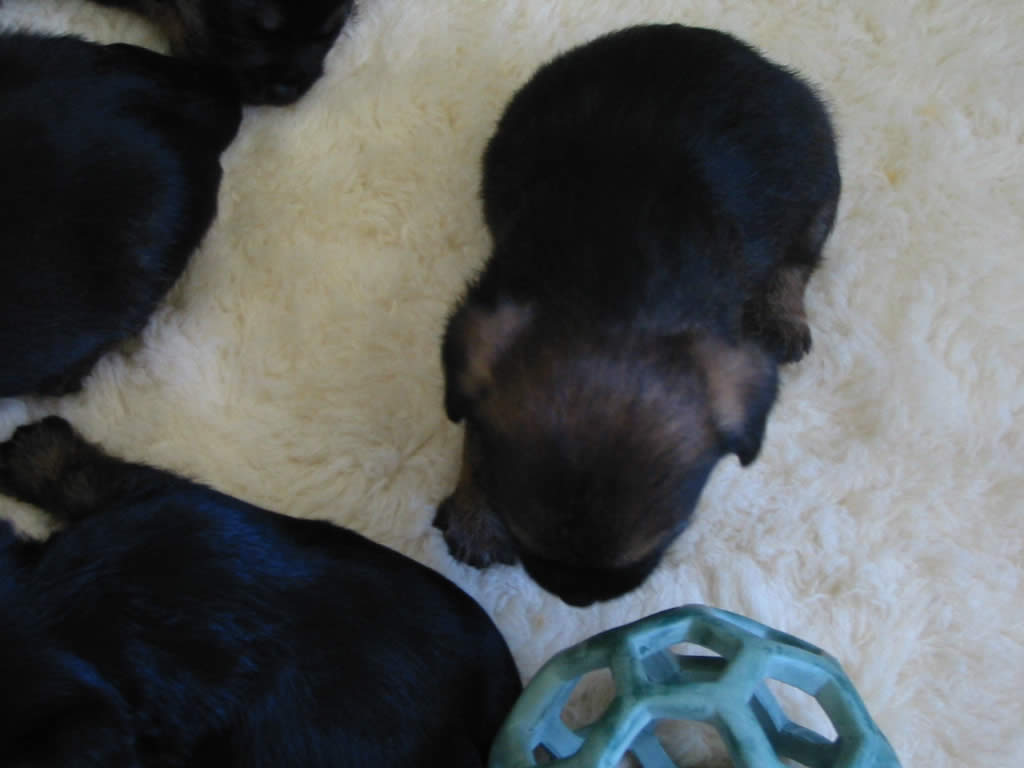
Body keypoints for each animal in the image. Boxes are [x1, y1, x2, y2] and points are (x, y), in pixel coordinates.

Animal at [432, 25, 839, 606]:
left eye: (671, 534)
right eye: (519, 530)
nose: (576, 597)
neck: (612, 289)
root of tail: (742, 52)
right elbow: (472, 431)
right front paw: (475, 515)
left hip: (818, 188)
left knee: (800, 258)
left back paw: (782, 315)